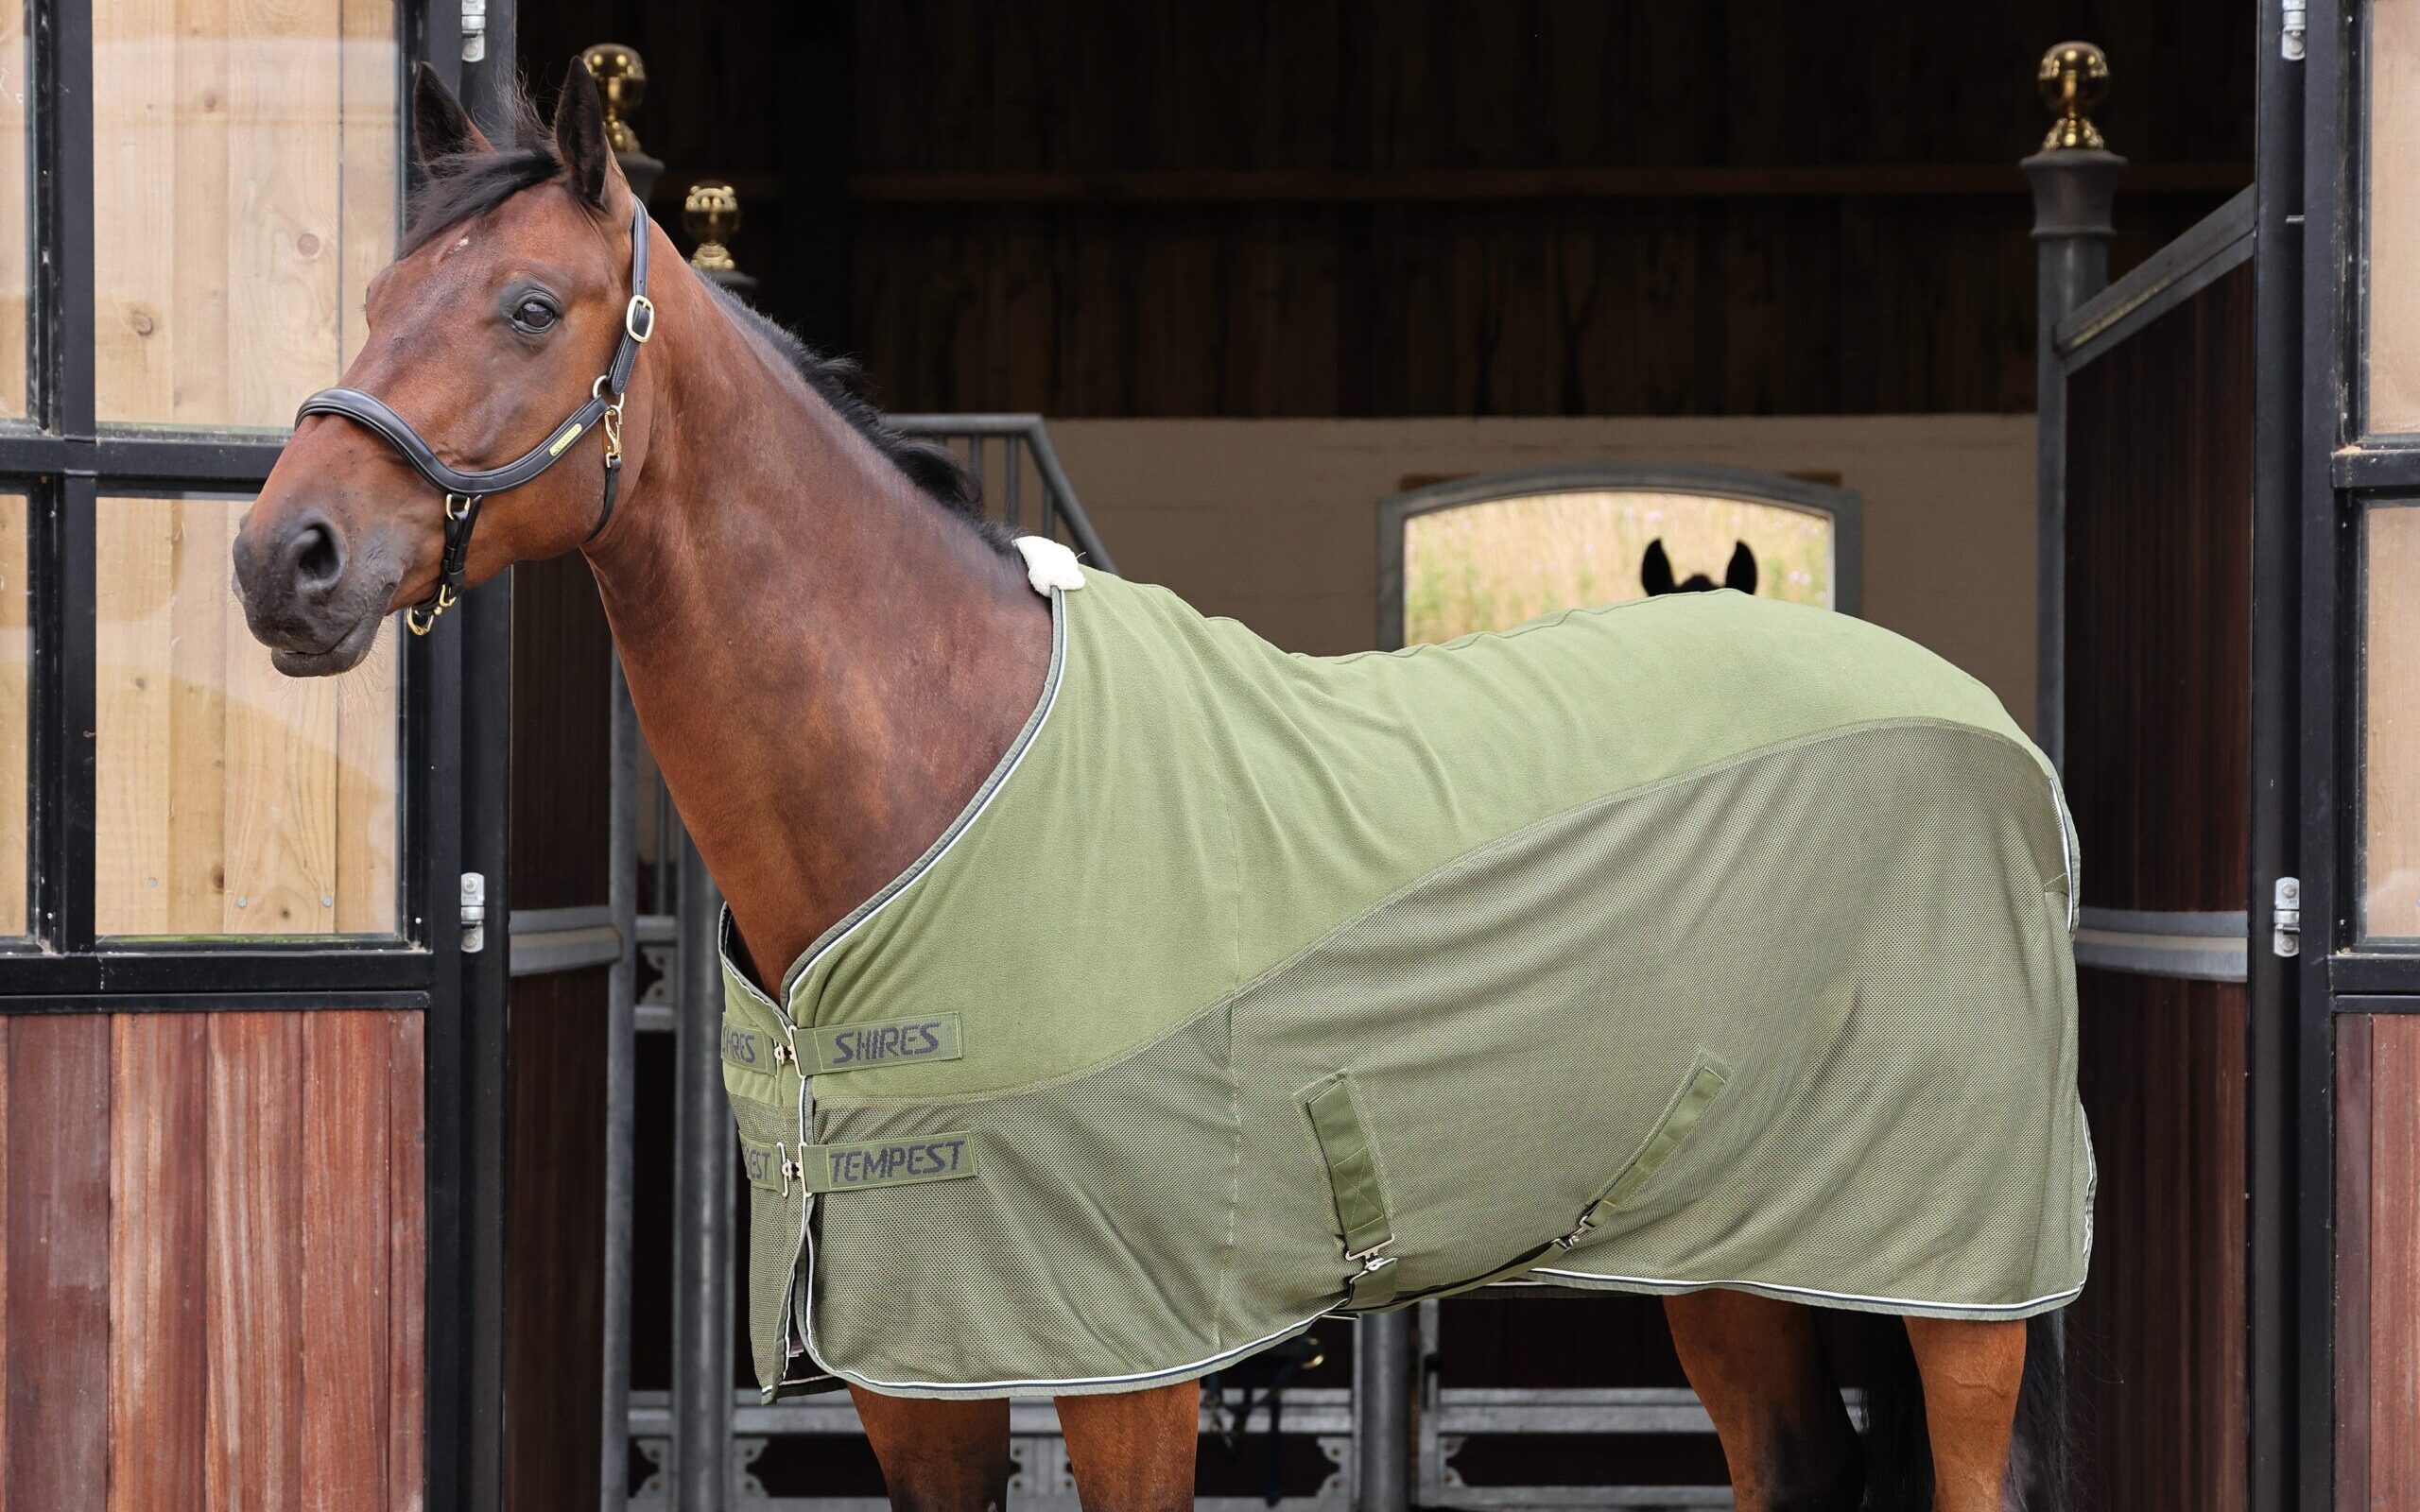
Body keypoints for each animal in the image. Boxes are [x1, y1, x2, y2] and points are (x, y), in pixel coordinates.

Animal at [231, 61, 2080, 1512]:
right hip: (1740, 1250)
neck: (947, 784)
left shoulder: (1130, 1368)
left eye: (529, 308)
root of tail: (1989, 730)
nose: (283, 559)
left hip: (1960, 1281)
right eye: (376, 300)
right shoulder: (919, 1368)